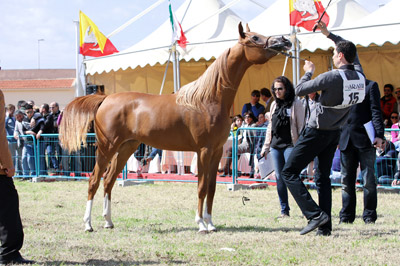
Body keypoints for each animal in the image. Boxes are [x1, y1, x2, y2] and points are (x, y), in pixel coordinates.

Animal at [58, 23, 290, 234]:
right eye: (255, 38)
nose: (284, 40)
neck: (208, 99)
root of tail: (105, 98)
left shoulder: (216, 152)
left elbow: (212, 188)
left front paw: (211, 223)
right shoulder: (204, 151)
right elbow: (201, 187)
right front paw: (201, 224)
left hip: (126, 147)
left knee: (108, 181)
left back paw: (108, 222)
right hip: (107, 148)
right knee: (94, 180)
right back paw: (88, 224)